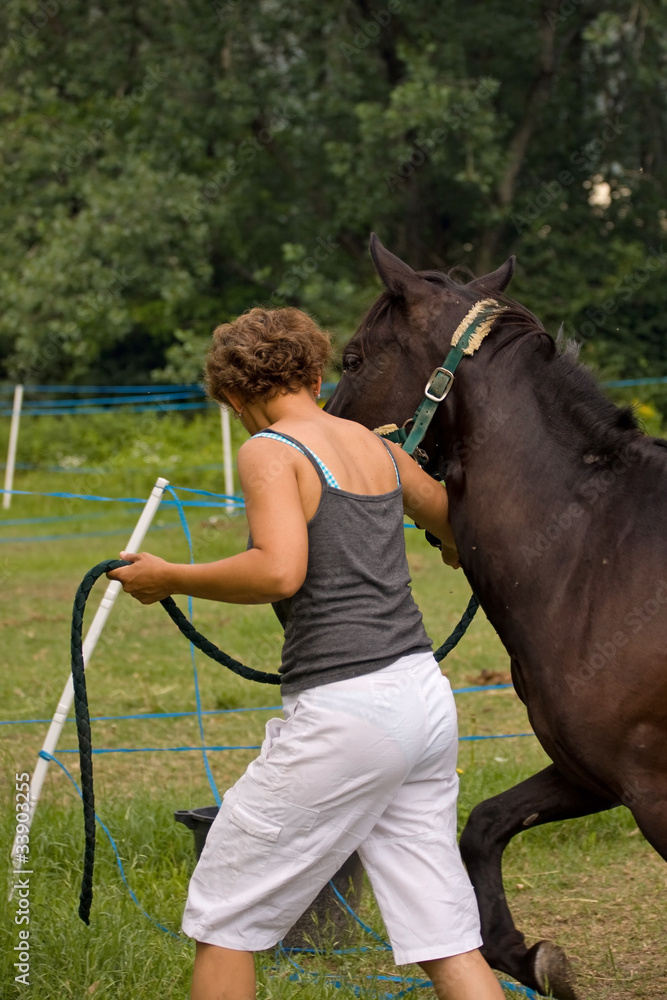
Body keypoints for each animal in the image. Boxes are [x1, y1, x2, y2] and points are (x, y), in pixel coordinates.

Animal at [325, 234, 667, 1000]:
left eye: (352, 359)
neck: (596, 549)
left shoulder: (655, 793)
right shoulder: (592, 772)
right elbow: (481, 827)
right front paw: (528, 955)